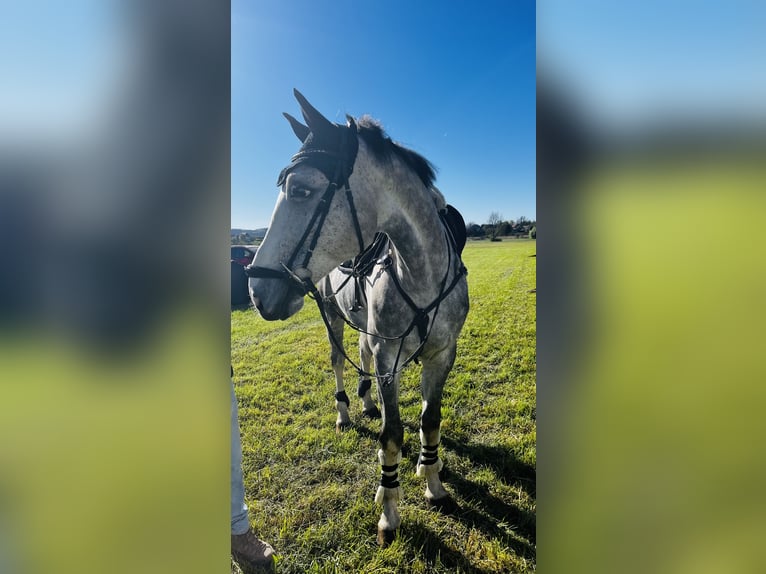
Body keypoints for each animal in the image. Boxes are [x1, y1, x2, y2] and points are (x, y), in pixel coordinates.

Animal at [246, 89, 469, 545]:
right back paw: (346, 411)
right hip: (332, 316)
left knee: (362, 356)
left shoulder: (442, 353)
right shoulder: (389, 360)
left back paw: (367, 403)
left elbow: (430, 420)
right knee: (338, 360)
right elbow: (392, 435)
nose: (256, 291)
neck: (421, 272)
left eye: (300, 190)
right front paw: (390, 511)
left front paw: (433, 483)